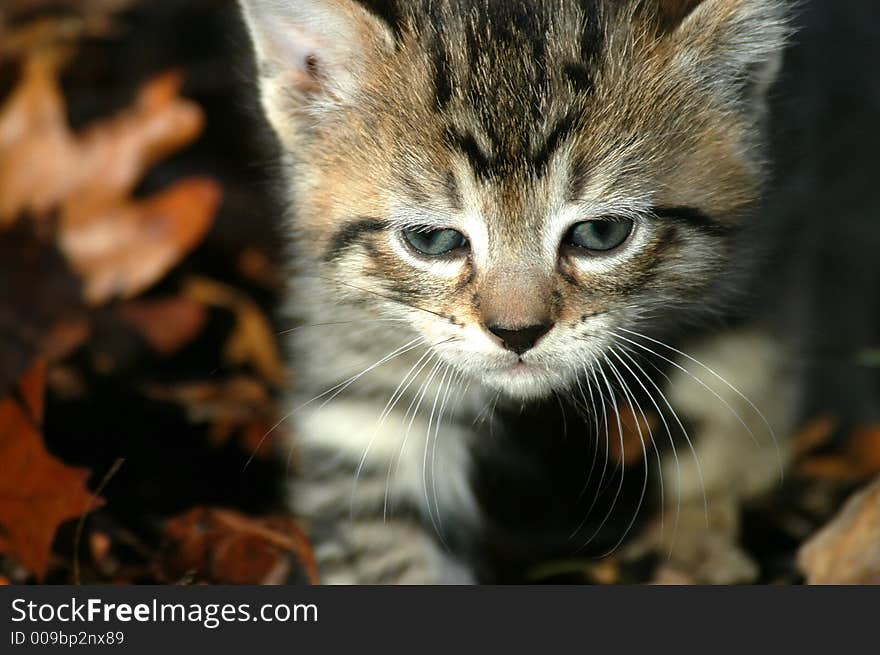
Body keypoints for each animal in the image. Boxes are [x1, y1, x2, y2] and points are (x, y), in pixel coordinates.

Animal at [237, 0, 796, 584]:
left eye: (602, 233)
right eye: (432, 240)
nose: (517, 333)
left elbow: (742, 390)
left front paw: (704, 526)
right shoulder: (356, 369)